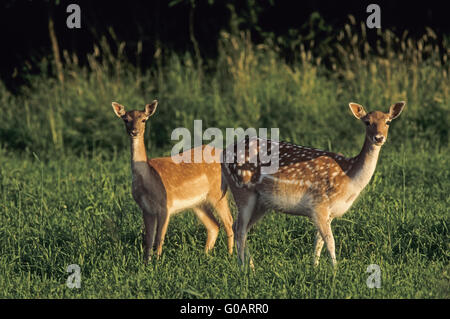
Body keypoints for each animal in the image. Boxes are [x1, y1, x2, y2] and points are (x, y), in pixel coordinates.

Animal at [112, 100, 234, 262]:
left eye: (144, 119)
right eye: (125, 119)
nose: (134, 131)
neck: (148, 180)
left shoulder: (165, 206)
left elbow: (159, 238)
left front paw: (157, 262)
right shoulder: (146, 209)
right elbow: (148, 239)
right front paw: (146, 262)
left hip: (217, 192)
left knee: (229, 222)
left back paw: (231, 256)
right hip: (198, 203)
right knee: (214, 225)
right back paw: (204, 256)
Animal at [221, 102, 404, 268]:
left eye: (388, 121)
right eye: (367, 122)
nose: (379, 138)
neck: (348, 177)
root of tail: (223, 153)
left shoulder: (328, 213)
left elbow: (318, 242)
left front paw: (314, 269)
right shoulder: (319, 204)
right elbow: (330, 241)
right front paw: (335, 271)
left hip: (262, 202)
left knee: (240, 227)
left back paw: (251, 266)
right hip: (242, 189)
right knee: (239, 229)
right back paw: (243, 269)